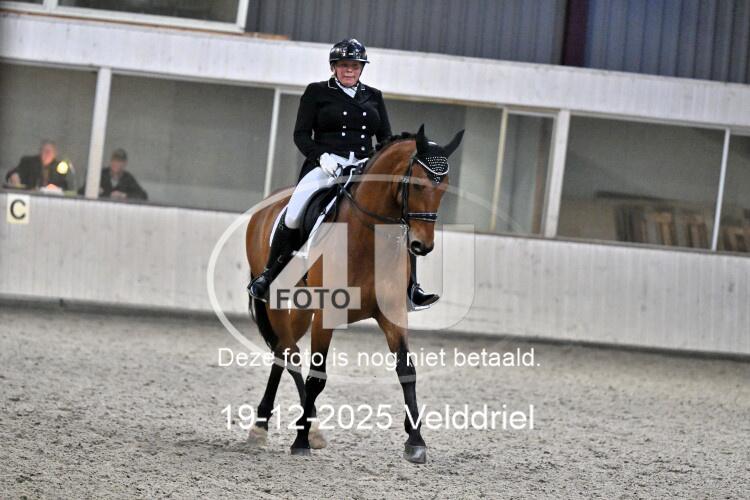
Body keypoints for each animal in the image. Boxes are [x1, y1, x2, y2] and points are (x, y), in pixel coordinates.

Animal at [244, 125, 464, 463]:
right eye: (415, 184)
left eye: (444, 188)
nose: (421, 246)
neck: (367, 236)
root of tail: (265, 206)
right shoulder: (326, 314)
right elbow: (317, 376)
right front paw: (300, 441)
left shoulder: (392, 314)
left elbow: (407, 371)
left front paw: (415, 441)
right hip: (277, 301)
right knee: (289, 354)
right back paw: (282, 428)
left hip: (303, 309)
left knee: (283, 352)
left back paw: (294, 427)